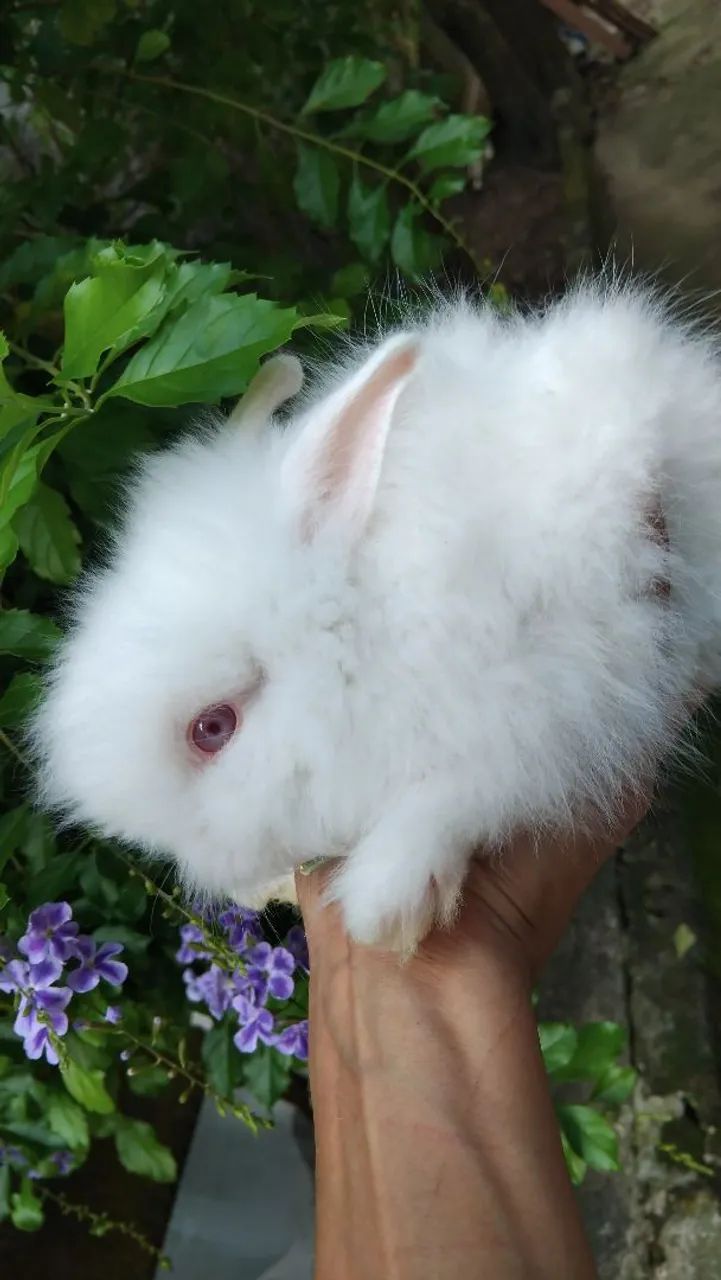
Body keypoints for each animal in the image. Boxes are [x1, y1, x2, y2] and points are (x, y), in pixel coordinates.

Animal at [30, 279, 721, 952]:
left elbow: (465, 791)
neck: (375, 631)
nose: (228, 885)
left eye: (213, 728)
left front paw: (387, 905)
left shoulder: (554, 702)